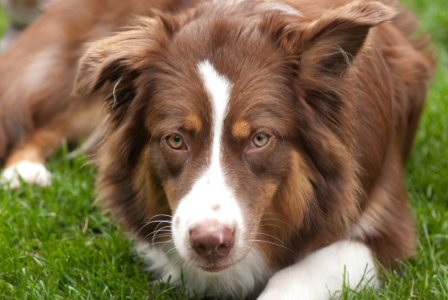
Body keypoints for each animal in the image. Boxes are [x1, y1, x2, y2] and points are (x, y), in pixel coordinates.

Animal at [0, 0, 434, 298]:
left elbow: (296, 273)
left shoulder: (387, 230)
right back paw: (24, 172)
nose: (210, 243)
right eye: (175, 139)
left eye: (260, 139)